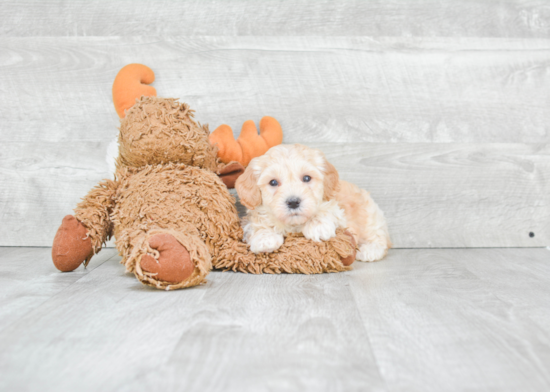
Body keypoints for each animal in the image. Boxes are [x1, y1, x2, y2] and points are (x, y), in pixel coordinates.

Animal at [236, 143, 392, 260]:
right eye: (273, 182)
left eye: (306, 178)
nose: (293, 202)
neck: (294, 225)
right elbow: (258, 222)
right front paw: (264, 238)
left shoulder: (338, 210)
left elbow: (327, 210)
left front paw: (317, 226)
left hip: (370, 216)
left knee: (378, 237)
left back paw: (369, 250)